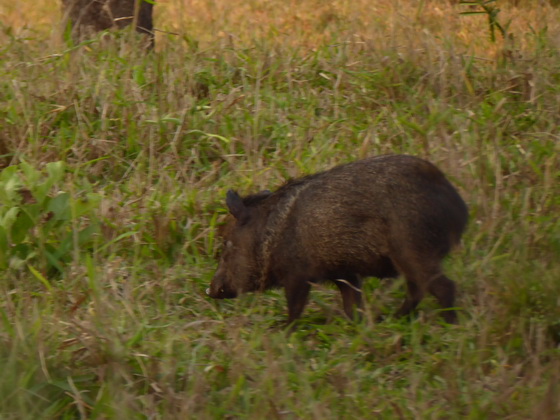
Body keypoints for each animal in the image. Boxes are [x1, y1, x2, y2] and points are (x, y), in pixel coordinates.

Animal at [206, 155, 468, 324]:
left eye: (228, 244)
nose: (211, 290)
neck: (270, 234)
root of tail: (459, 207)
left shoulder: (297, 275)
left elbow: (295, 307)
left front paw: (282, 331)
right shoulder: (344, 273)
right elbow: (351, 304)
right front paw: (359, 325)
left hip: (413, 252)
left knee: (443, 287)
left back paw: (450, 325)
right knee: (418, 291)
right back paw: (393, 319)